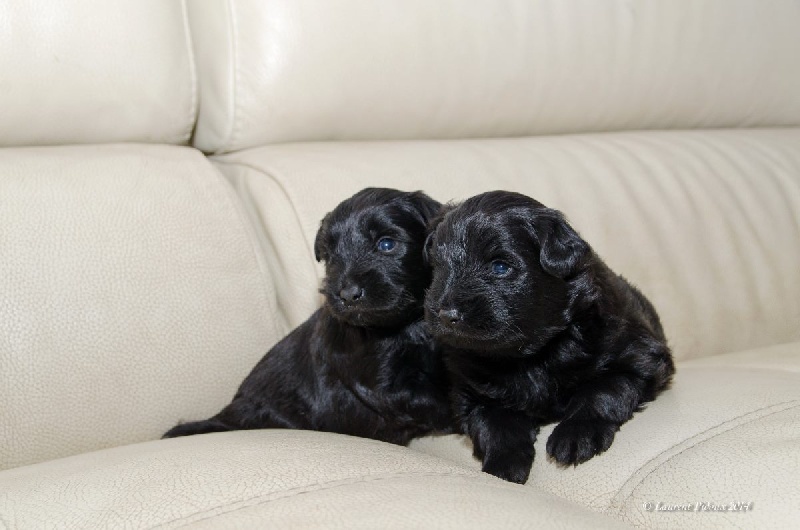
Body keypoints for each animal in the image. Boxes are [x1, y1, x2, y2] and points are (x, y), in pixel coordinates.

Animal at [164, 188, 450, 444]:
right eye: (330, 255)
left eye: (386, 244)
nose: (347, 294)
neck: (407, 326)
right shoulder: (382, 383)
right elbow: (431, 401)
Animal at [424, 191, 676, 482]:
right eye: (438, 267)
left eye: (500, 267)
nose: (446, 315)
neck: (531, 355)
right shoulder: (473, 393)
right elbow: (495, 425)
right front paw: (503, 468)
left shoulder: (641, 358)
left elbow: (603, 390)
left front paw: (576, 435)